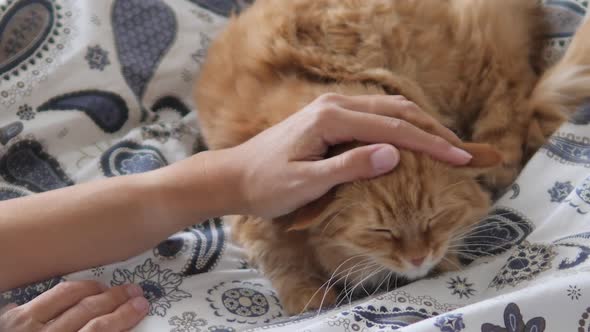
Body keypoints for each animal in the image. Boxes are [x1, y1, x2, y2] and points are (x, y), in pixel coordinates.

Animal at [197, 0, 590, 316]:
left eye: (435, 218)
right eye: (380, 232)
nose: (419, 257)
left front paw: (446, 258)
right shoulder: (256, 198)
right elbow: (277, 258)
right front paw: (307, 297)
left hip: (482, 58)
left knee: (511, 103)